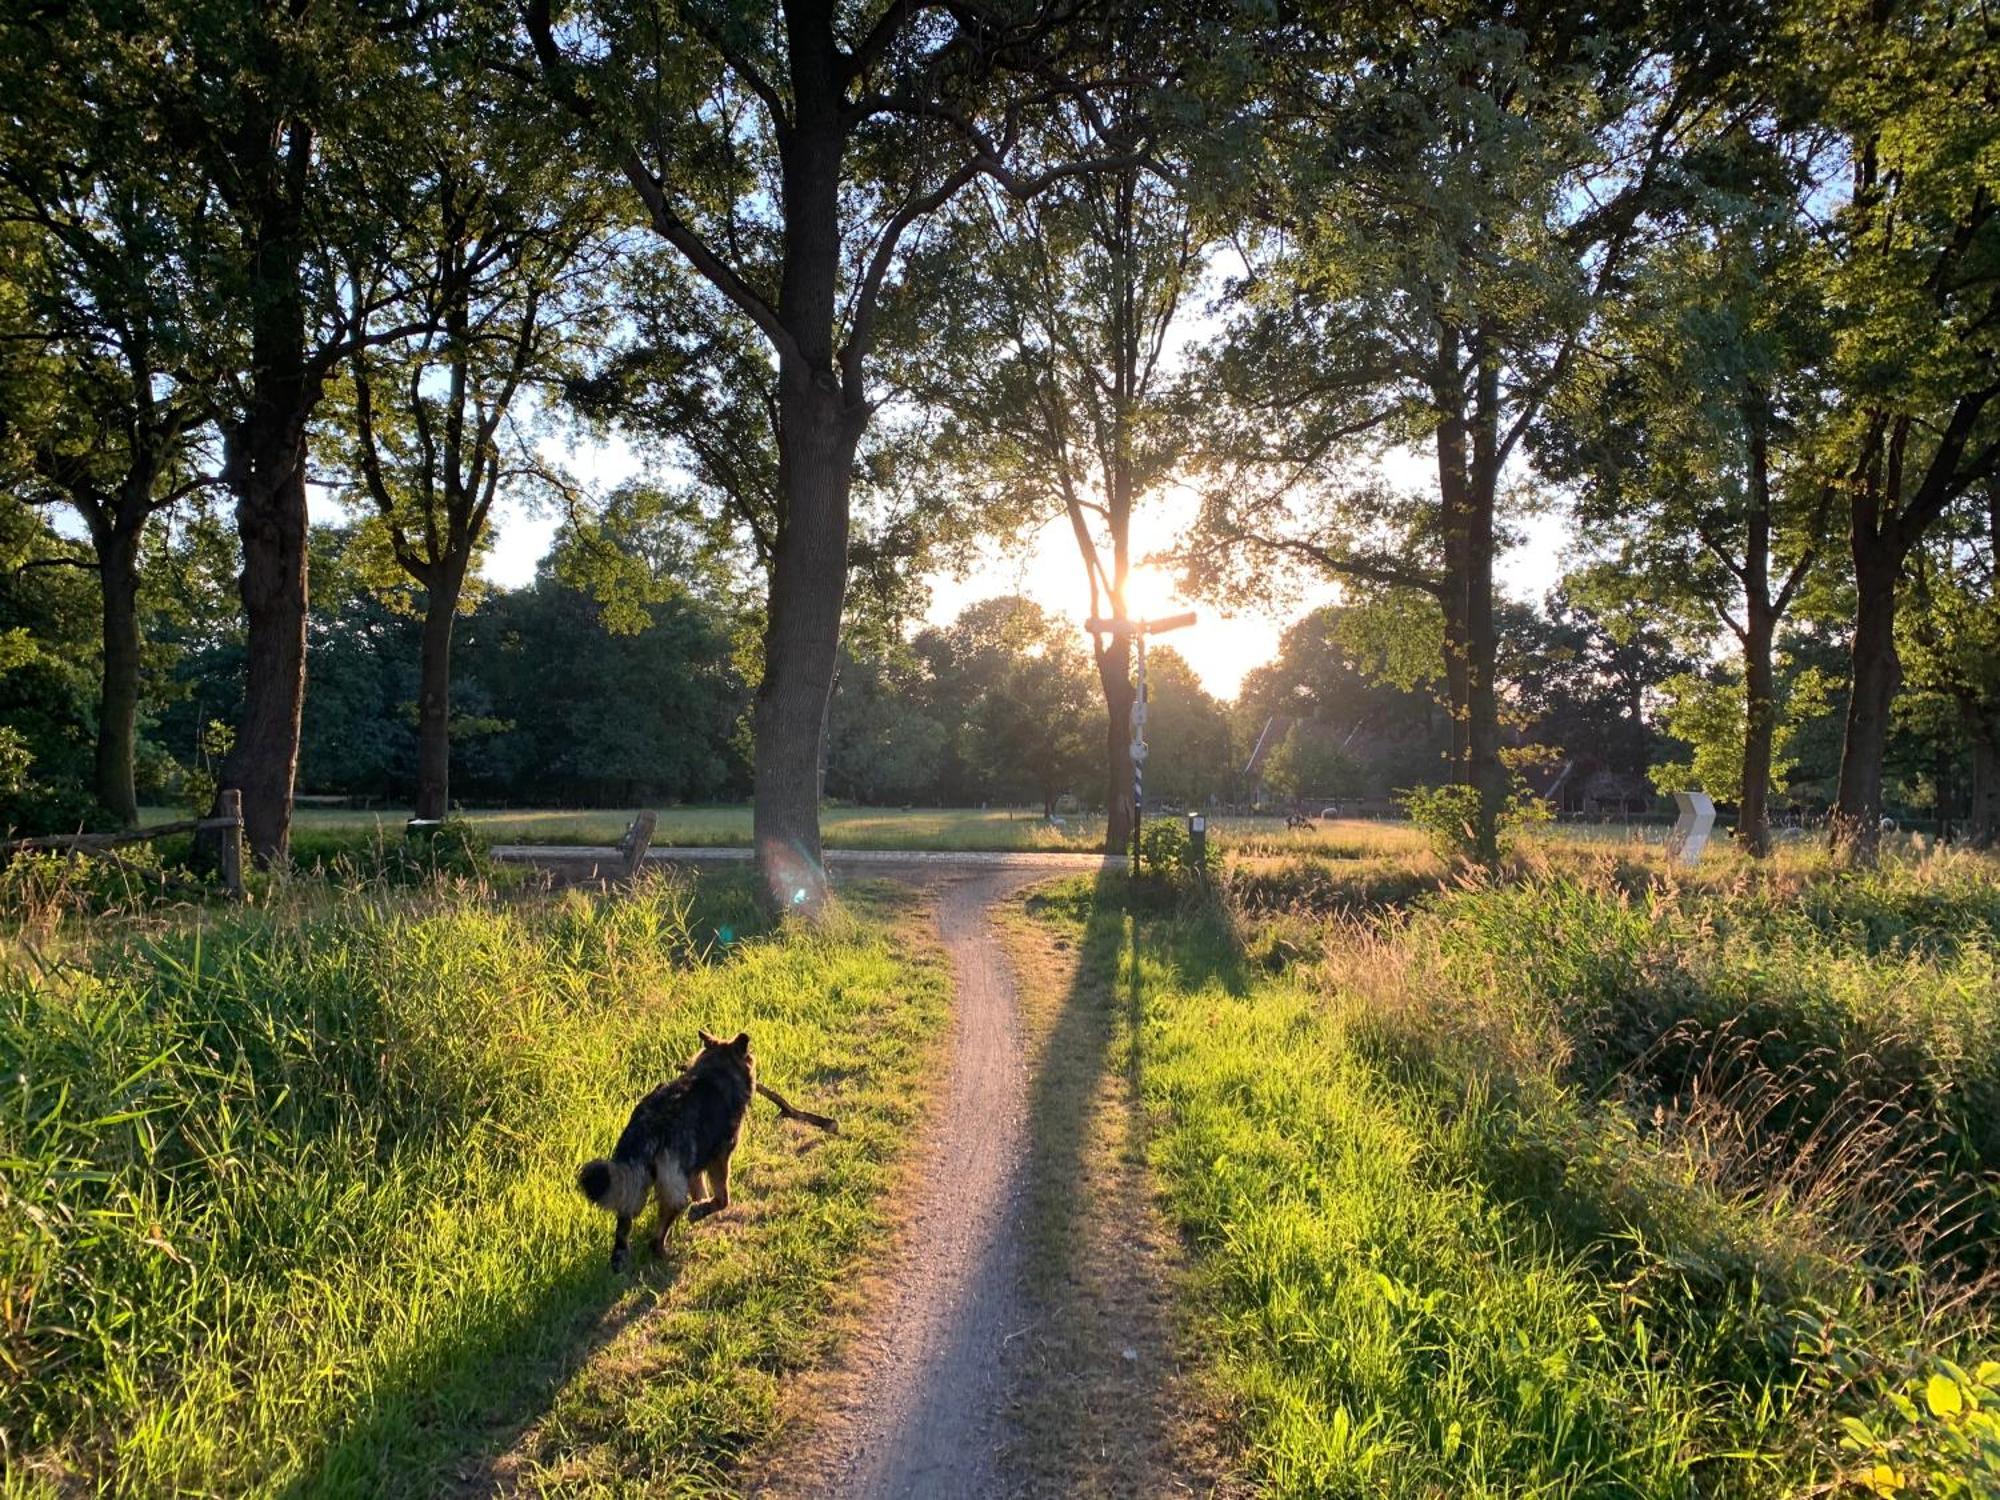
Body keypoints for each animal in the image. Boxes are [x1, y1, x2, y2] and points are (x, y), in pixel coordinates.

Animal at [584, 1032, 756, 1272]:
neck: (716, 1069)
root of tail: (650, 1128)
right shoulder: (719, 1159)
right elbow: (722, 1199)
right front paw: (701, 1211)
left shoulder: (693, 1170)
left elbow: (701, 1192)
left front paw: (700, 1210)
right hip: (674, 1191)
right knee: (656, 1239)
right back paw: (666, 1256)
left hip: (635, 1180)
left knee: (625, 1221)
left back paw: (620, 1258)